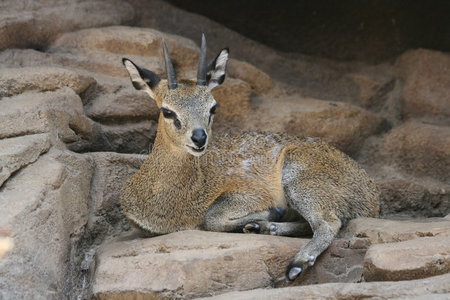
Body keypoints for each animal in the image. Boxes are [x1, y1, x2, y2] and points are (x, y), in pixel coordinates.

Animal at [120, 35, 380, 282]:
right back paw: (262, 228)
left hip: (299, 178)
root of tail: (372, 196)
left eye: (213, 107)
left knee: (327, 223)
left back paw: (294, 263)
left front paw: (270, 213)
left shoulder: (249, 193)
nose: (199, 138)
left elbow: (211, 217)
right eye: (167, 111)